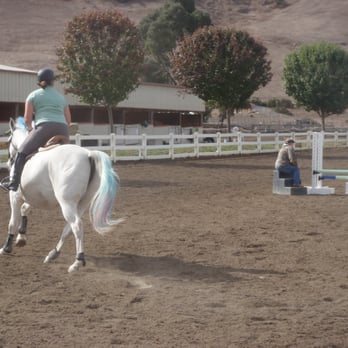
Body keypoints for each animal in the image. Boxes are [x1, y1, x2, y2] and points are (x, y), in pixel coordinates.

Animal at [0, 117, 123, 272]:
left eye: (9, 140)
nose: (8, 162)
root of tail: (88, 154)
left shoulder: (14, 196)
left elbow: (12, 222)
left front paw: (6, 248)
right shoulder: (34, 197)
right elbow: (24, 209)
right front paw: (21, 238)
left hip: (67, 203)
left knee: (76, 225)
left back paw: (77, 262)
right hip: (81, 204)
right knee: (69, 228)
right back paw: (53, 253)